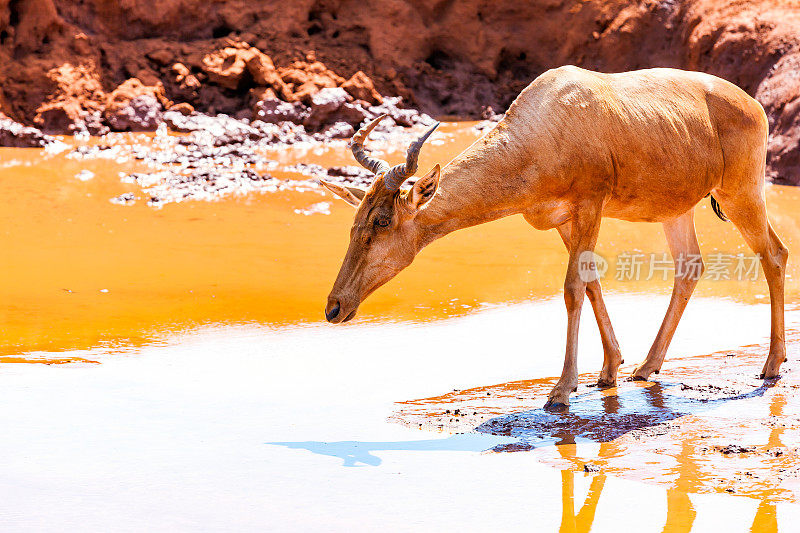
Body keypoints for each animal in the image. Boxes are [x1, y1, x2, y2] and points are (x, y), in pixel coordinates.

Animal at [318, 67, 788, 408]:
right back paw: (646, 367)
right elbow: (591, 281)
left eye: (382, 222)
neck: (549, 117)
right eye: (356, 221)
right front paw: (609, 371)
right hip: (678, 209)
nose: (334, 309)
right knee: (690, 266)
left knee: (774, 254)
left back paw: (770, 366)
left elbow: (572, 287)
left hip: (741, 192)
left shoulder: (590, 204)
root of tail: (752, 104)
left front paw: (561, 391)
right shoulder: (564, 220)